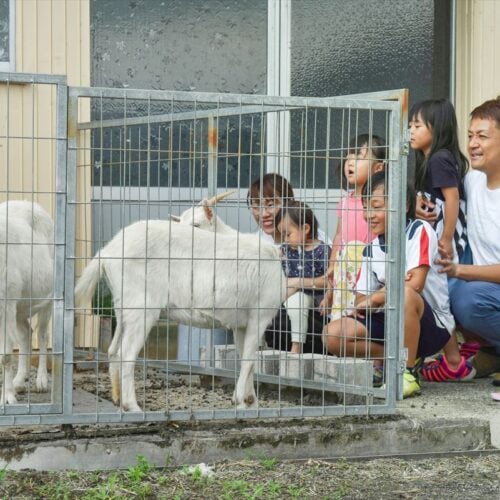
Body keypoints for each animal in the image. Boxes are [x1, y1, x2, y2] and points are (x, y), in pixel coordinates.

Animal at [0, 199, 53, 402]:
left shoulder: (5, 303)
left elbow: (5, 355)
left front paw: (7, 397)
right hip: (20, 308)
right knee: (26, 335)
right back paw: (19, 383)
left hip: (48, 300)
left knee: (42, 334)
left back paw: (41, 382)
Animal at [74, 202, 286, 410]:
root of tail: (107, 253)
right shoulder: (260, 315)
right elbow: (249, 362)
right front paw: (242, 403)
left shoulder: (240, 323)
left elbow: (245, 359)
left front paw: (249, 402)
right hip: (141, 308)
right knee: (126, 353)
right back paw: (132, 406)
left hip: (123, 307)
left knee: (113, 349)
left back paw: (118, 400)